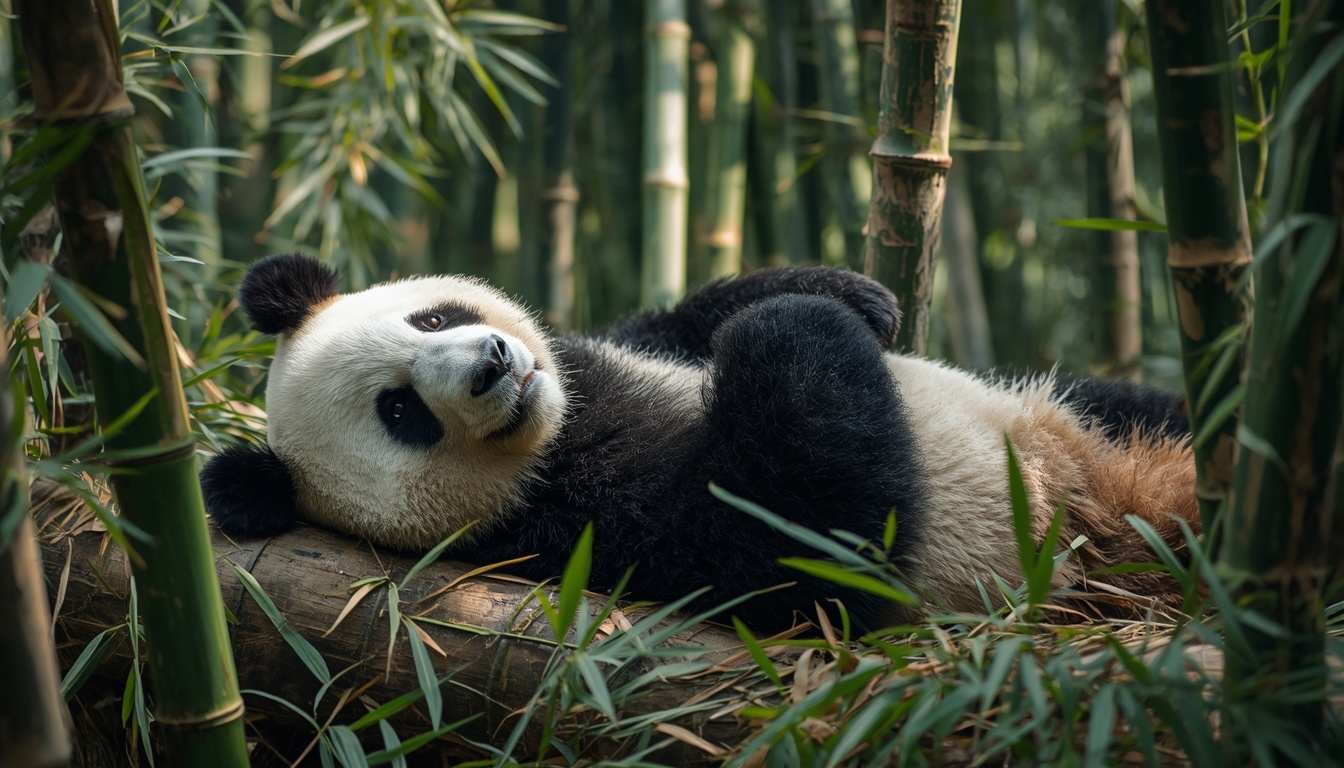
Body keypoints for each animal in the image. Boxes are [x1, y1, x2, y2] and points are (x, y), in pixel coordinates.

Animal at [202, 253, 1198, 630]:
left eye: (434, 317)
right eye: (400, 412)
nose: (494, 363)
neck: (559, 433)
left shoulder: (605, 358)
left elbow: (674, 324)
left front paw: (852, 297)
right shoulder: (583, 535)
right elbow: (804, 547)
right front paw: (791, 325)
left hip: (1085, 416)